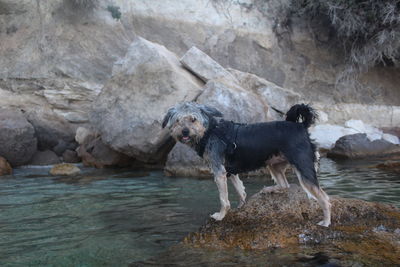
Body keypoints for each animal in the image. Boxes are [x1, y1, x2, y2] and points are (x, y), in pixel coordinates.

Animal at [162, 101, 332, 227]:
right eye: (177, 121)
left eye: (193, 119)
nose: (184, 131)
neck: (209, 132)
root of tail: (301, 126)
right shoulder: (229, 171)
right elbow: (240, 190)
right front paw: (240, 207)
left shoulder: (219, 172)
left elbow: (223, 199)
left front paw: (220, 215)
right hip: (274, 164)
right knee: (285, 185)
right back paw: (269, 189)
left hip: (303, 165)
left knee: (324, 198)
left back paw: (326, 222)